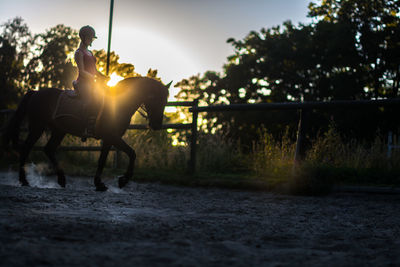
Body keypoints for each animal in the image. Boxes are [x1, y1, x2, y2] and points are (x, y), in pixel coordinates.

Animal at [2, 76, 170, 192]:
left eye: (165, 100)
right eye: (153, 97)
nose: (157, 125)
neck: (118, 103)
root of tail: (36, 92)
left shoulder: (109, 139)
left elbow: (102, 160)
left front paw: (99, 184)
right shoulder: (112, 137)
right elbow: (132, 153)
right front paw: (123, 180)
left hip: (59, 130)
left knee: (48, 149)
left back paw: (61, 180)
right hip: (38, 126)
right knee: (26, 148)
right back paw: (24, 181)